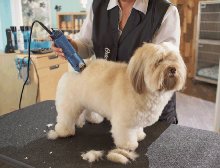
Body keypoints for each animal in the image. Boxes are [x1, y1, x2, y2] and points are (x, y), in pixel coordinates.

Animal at [47, 41, 186, 151]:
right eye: (159, 61)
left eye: (174, 59)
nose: (173, 69)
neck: (144, 89)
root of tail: (79, 67)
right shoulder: (125, 120)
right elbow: (126, 134)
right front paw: (128, 145)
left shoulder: (138, 116)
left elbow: (138, 128)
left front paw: (139, 135)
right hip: (70, 104)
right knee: (65, 118)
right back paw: (64, 131)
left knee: (88, 111)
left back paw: (94, 119)